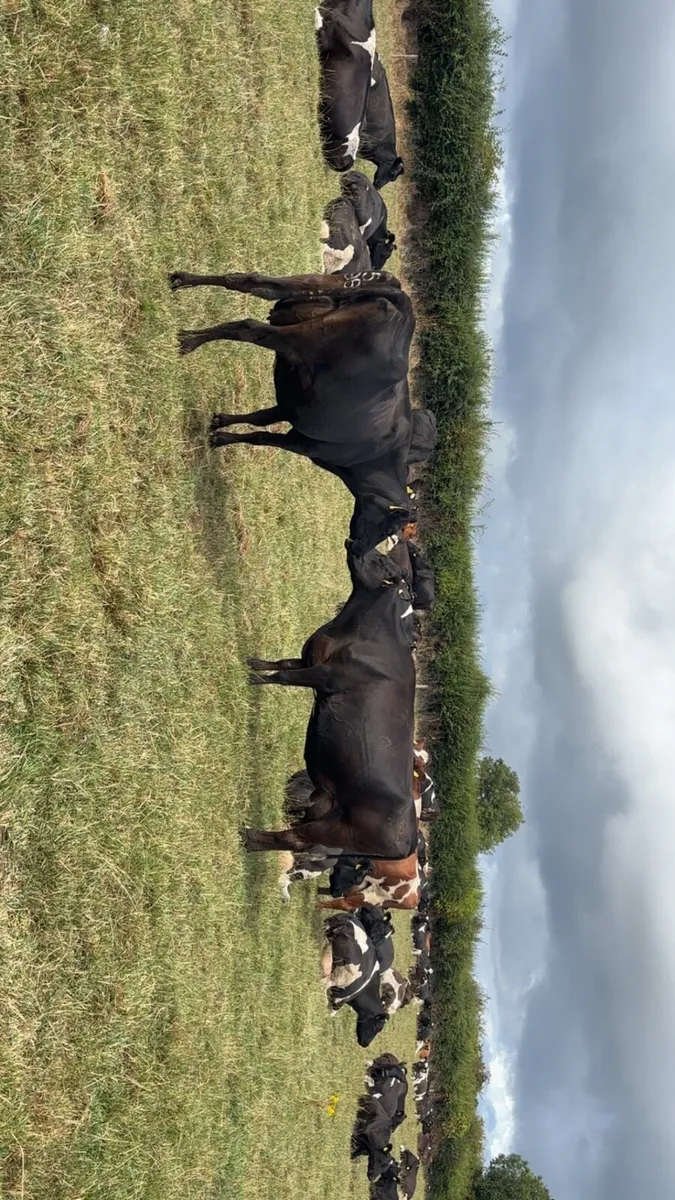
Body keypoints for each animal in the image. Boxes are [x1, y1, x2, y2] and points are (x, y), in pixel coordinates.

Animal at [169, 267, 436, 557]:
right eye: (390, 528)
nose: (359, 552)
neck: (371, 459)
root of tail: (402, 301)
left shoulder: (293, 408)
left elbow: (260, 418)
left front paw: (219, 424)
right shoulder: (304, 444)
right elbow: (261, 437)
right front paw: (220, 439)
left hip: (321, 285)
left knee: (256, 283)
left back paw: (181, 281)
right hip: (304, 339)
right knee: (249, 327)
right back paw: (189, 341)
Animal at [237, 544, 418, 861]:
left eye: (380, 560)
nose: (353, 545)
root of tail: (410, 842)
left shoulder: (327, 675)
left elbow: (284, 675)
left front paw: (252, 680)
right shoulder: (310, 658)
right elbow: (282, 663)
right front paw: (253, 665)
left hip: (335, 830)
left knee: (293, 839)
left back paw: (247, 836)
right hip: (324, 809)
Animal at [322, 913, 389, 1046]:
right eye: (377, 1027)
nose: (365, 1045)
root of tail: (348, 922)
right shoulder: (338, 1000)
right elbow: (331, 1013)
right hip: (338, 976)